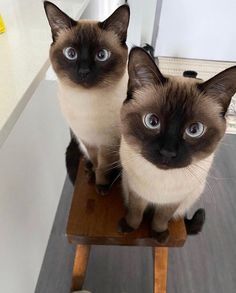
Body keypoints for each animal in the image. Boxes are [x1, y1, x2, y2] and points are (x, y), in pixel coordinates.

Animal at [43, 2, 130, 194]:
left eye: (101, 55)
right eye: (71, 53)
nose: (84, 72)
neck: (85, 102)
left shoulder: (108, 144)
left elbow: (104, 166)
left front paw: (102, 186)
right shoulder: (87, 141)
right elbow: (96, 161)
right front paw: (94, 176)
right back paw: (88, 170)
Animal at [119, 46, 236, 241]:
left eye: (194, 130)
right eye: (152, 121)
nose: (168, 152)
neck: (161, 180)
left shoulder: (174, 200)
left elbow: (161, 217)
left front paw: (159, 235)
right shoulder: (136, 192)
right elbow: (136, 213)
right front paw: (129, 227)